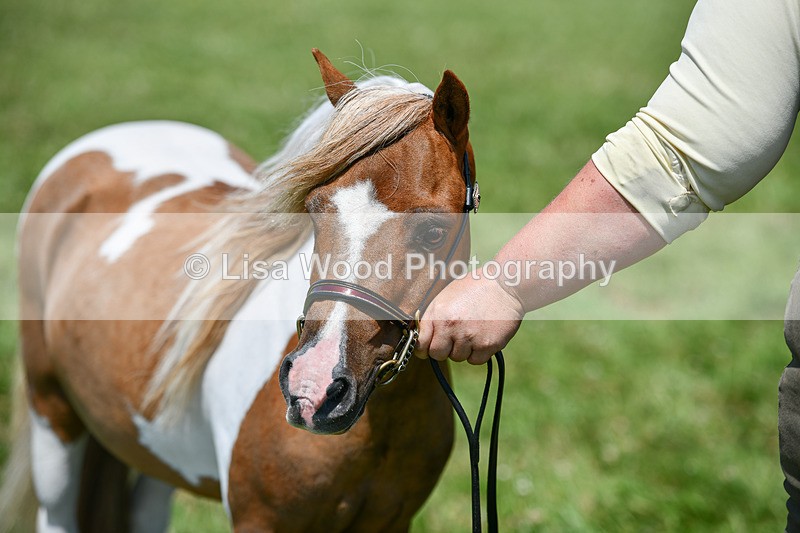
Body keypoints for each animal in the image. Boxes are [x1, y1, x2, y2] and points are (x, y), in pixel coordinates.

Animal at [0, 49, 477, 532]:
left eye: (434, 232)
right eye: (314, 209)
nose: (314, 386)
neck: (382, 420)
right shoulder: (259, 519)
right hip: (53, 420)